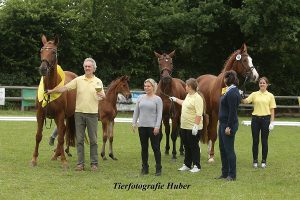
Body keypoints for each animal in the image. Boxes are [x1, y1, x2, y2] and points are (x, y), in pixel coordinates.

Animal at [30, 34, 77, 169]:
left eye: (53, 52)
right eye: (41, 51)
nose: (43, 69)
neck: (50, 88)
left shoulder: (60, 114)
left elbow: (61, 138)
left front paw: (64, 161)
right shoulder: (40, 114)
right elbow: (38, 136)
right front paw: (34, 159)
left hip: (69, 116)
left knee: (64, 132)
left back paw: (60, 155)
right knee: (63, 130)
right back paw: (57, 154)